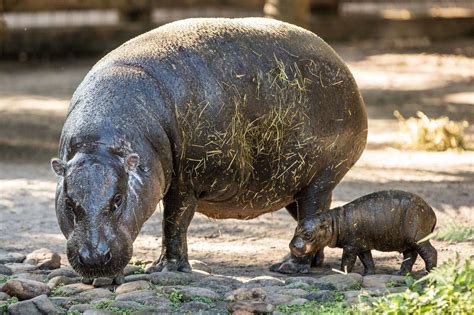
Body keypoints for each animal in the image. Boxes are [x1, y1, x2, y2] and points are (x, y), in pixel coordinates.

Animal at [51, 17, 366, 280]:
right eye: (69, 201)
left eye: (117, 200)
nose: (94, 259)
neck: (100, 142)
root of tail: (343, 67)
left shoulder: (185, 182)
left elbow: (174, 222)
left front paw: (166, 269)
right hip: (293, 184)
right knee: (315, 214)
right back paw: (313, 263)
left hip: (320, 178)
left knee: (311, 215)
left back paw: (287, 267)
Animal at [290, 190, 438, 276]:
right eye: (296, 228)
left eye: (308, 234)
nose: (292, 246)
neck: (335, 222)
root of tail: (432, 211)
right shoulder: (362, 246)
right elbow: (367, 260)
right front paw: (368, 274)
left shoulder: (351, 247)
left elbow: (347, 261)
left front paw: (340, 273)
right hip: (407, 242)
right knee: (410, 256)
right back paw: (400, 273)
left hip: (418, 237)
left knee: (430, 252)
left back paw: (429, 273)